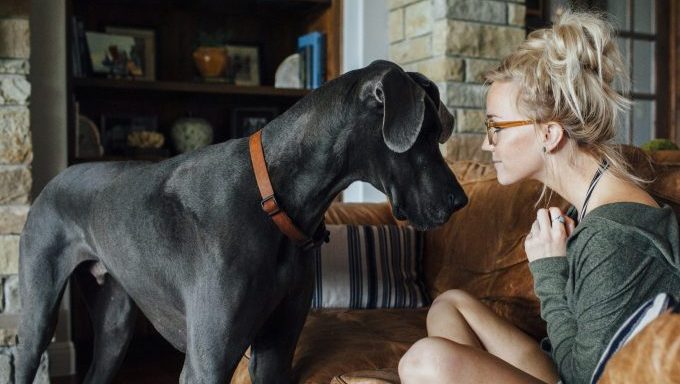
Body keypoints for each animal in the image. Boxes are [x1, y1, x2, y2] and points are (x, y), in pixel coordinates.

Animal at [18, 60, 470, 384]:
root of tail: (53, 181)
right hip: (38, 317)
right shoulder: (206, 363)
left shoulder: (276, 352)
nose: (461, 201)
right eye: (425, 134)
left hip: (114, 323)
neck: (275, 202)